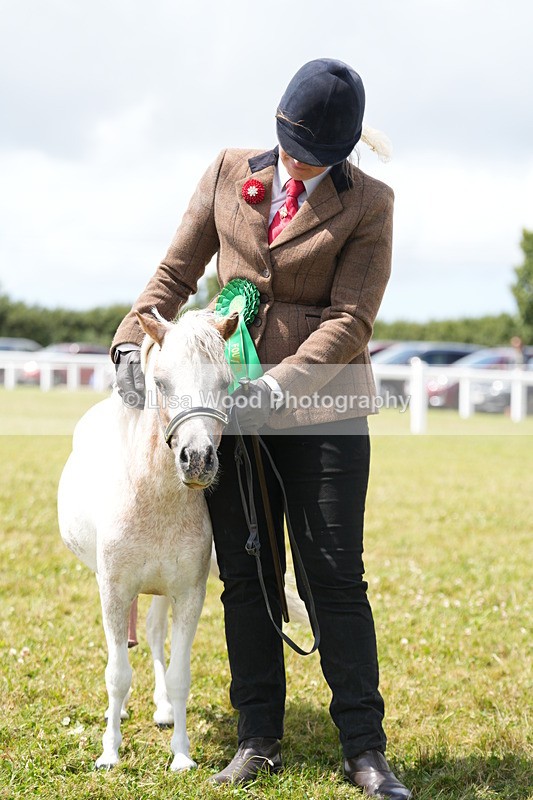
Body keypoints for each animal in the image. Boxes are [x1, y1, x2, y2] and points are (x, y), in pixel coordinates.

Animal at [57, 308, 238, 771]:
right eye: (162, 382)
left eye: (225, 383)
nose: (198, 459)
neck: (154, 502)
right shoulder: (114, 589)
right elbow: (117, 673)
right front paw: (109, 752)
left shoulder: (189, 594)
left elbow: (179, 674)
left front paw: (182, 755)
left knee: (155, 636)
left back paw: (162, 710)